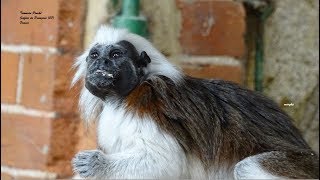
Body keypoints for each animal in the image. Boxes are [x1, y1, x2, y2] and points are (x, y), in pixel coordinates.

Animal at [71, 25, 318, 179]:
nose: (101, 63)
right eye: (95, 56)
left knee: (248, 167)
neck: (121, 98)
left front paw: (97, 164)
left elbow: (165, 161)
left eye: (115, 55)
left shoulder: (147, 102)